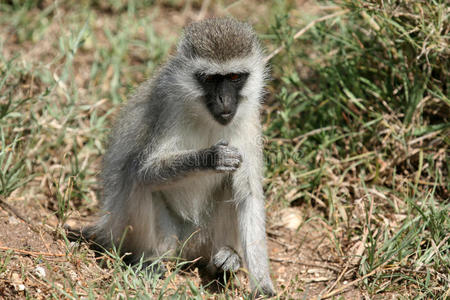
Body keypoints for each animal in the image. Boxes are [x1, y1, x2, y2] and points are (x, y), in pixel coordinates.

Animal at [88, 17, 274, 296]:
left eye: (234, 76)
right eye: (210, 78)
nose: (224, 99)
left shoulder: (250, 121)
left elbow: (248, 195)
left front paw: (262, 284)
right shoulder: (168, 106)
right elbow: (145, 170)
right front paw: (211, 157)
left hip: (204, 237)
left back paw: (226, 259)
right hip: (149, 235)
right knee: (137, 178)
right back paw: (148, 259)